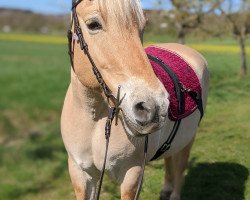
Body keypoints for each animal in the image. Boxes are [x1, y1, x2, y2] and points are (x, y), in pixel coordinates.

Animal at [60, 0, 209, 199]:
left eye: (143, 26)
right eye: (93, 24)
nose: (153, 107)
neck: (94, 120)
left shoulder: (132, 174)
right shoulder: (80, 173)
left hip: (188, 139)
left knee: (180, 168)